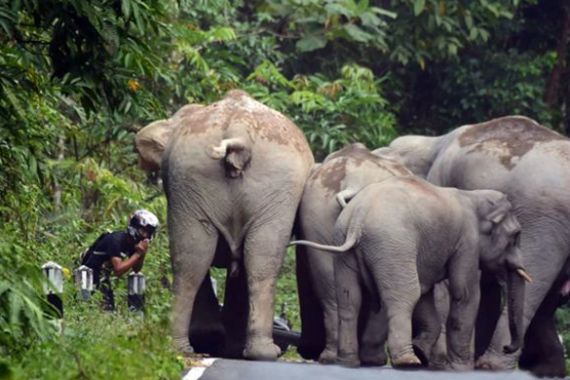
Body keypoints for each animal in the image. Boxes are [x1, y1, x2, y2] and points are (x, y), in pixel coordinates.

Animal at [290, 177, 532, 370]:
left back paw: (348, 362)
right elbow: (464, 294)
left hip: (343, 245)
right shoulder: (466, 243)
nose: (507, 347)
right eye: (516, 235)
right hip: (392, 244)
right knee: (405, 295)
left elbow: (426, 293)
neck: (473, 196)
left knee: (350, 299)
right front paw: (460, 368)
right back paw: (407, 361)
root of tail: (358, 216)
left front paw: (424, 351)